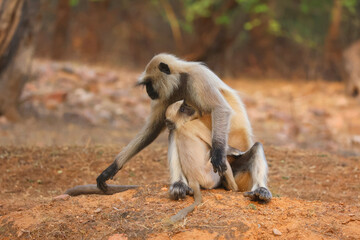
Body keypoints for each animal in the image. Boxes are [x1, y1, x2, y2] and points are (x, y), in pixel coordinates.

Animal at [97, 53, 272, 201]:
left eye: (149, 83)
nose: (148, 91)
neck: (181, 79)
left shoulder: (198, 78)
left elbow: (220, 109)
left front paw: (217, 153)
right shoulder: (169, 93)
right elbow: (153, 128)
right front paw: (111, 169)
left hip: (236, 170)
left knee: (255, 147)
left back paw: (260, 190)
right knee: (173, 132)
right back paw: (179, 185)